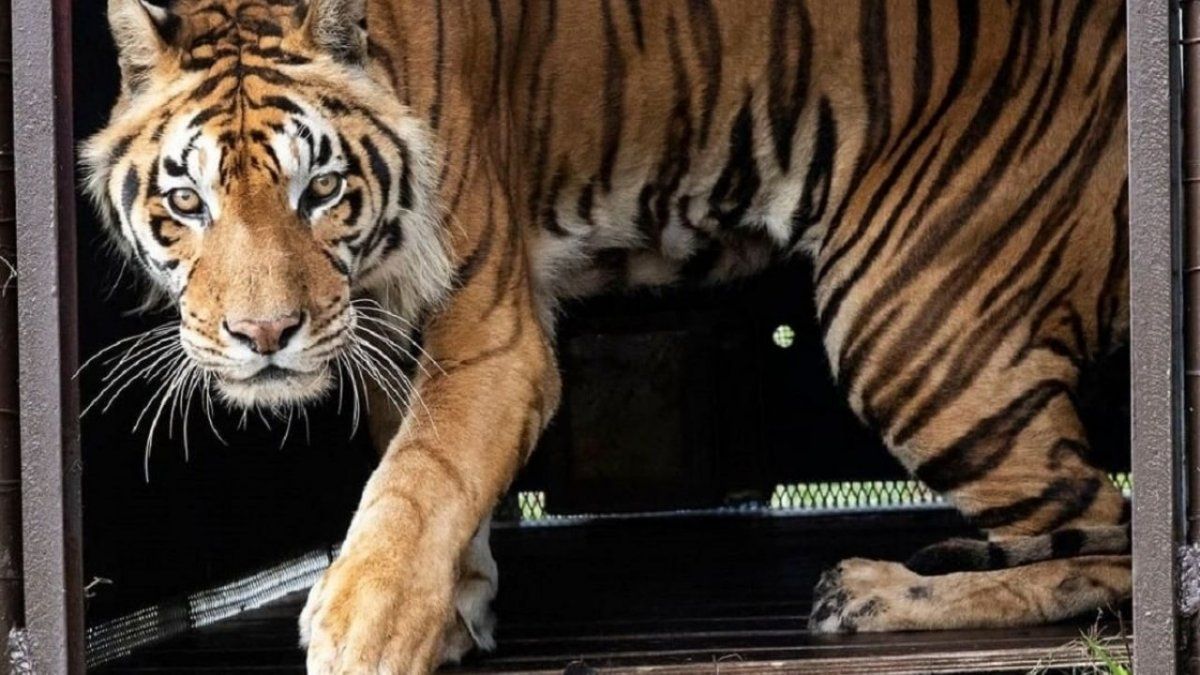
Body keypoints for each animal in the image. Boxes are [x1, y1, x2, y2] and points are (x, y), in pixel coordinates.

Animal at [82, 0, 1131, 672]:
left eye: (321, 189)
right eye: (188, 202)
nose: (264, 333)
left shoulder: (492, 330)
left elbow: (421, 479)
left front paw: (363, 630)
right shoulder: (379, 317)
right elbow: (418, 466)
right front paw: (460, 603)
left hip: (910, 323)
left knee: (1115, 534)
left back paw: (871, 592)